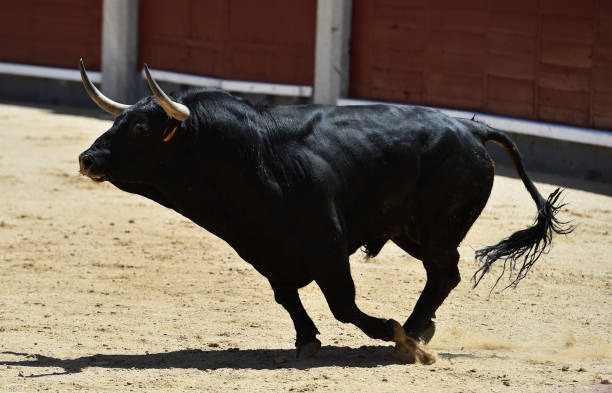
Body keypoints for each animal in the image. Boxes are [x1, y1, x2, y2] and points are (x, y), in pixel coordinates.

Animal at [77, 61, 572, 362]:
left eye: (140, 127)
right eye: (118, 120)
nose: (87, 158)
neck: (250, 157)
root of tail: (472, 128)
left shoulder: (327, 246)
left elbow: (342, 303)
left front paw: (388, 329)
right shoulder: (265, 249)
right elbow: (288, 298)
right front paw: (306, 341)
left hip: (436, 230)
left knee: (444, 273)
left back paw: (411, 334)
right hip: (410, 232)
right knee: (441, 275)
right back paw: (421, 328)